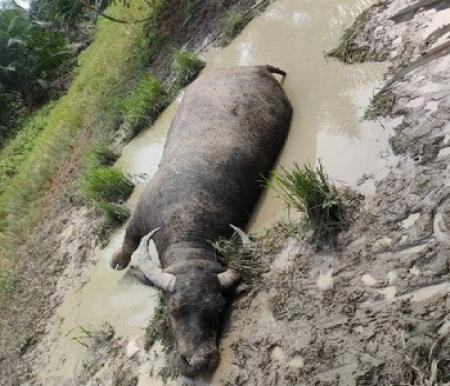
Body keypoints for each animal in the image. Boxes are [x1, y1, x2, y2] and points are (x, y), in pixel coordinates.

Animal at [110, 65, 290, 376]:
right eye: (174, 309)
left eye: (218, 308)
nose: (199, 361)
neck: (184, 218)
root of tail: (256, 68)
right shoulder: (140, 218)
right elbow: (129, 241)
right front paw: (117, 261)